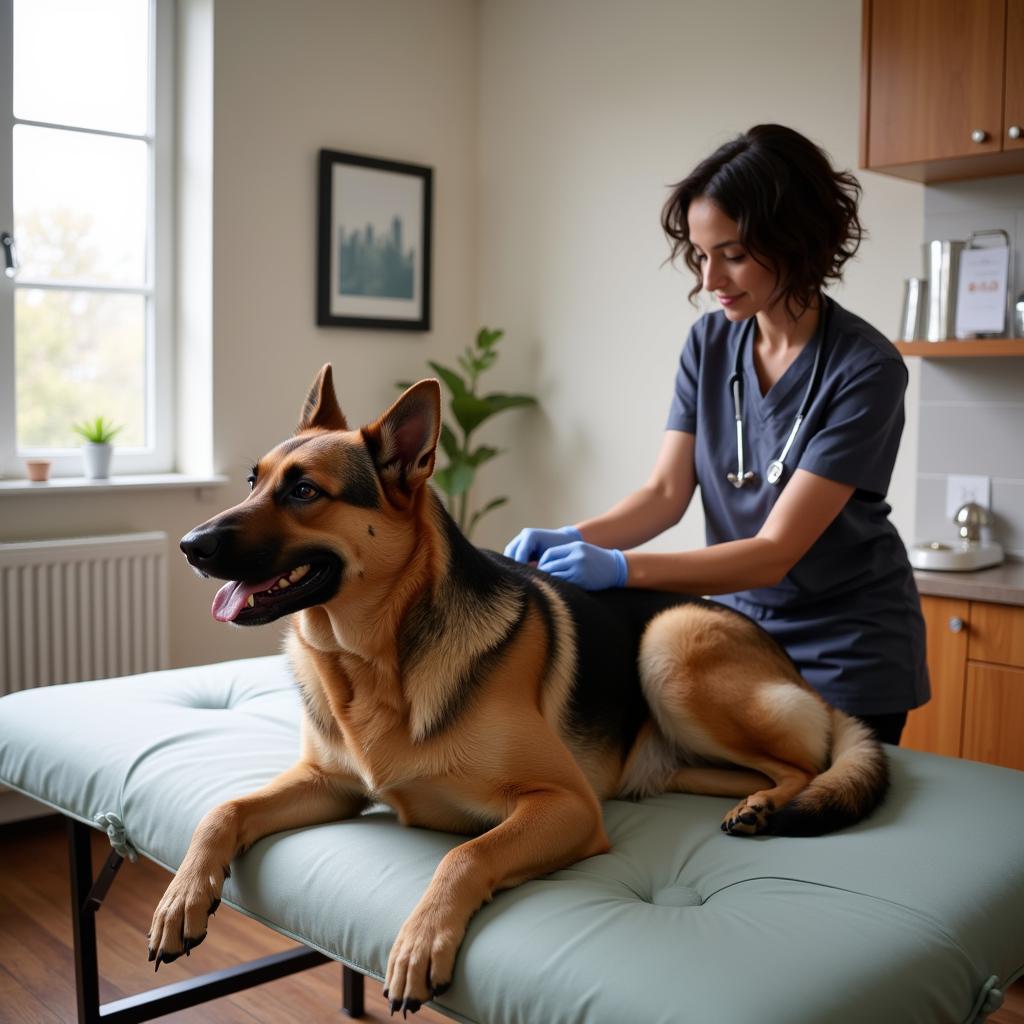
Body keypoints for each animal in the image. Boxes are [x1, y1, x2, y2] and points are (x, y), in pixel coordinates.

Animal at [151, 364, 888, 1011]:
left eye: (305, 492)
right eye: (253, 481)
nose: (190, 546)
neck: (377, 659)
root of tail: (791, 671)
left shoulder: (566, 805)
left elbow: (465, 853)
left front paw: (421, 940)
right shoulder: (328, 784)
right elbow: (224, 809)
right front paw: (182, 896)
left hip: (669, 645)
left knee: (805, 765)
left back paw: (770, 804)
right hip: (675, 747)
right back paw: (747, 800)